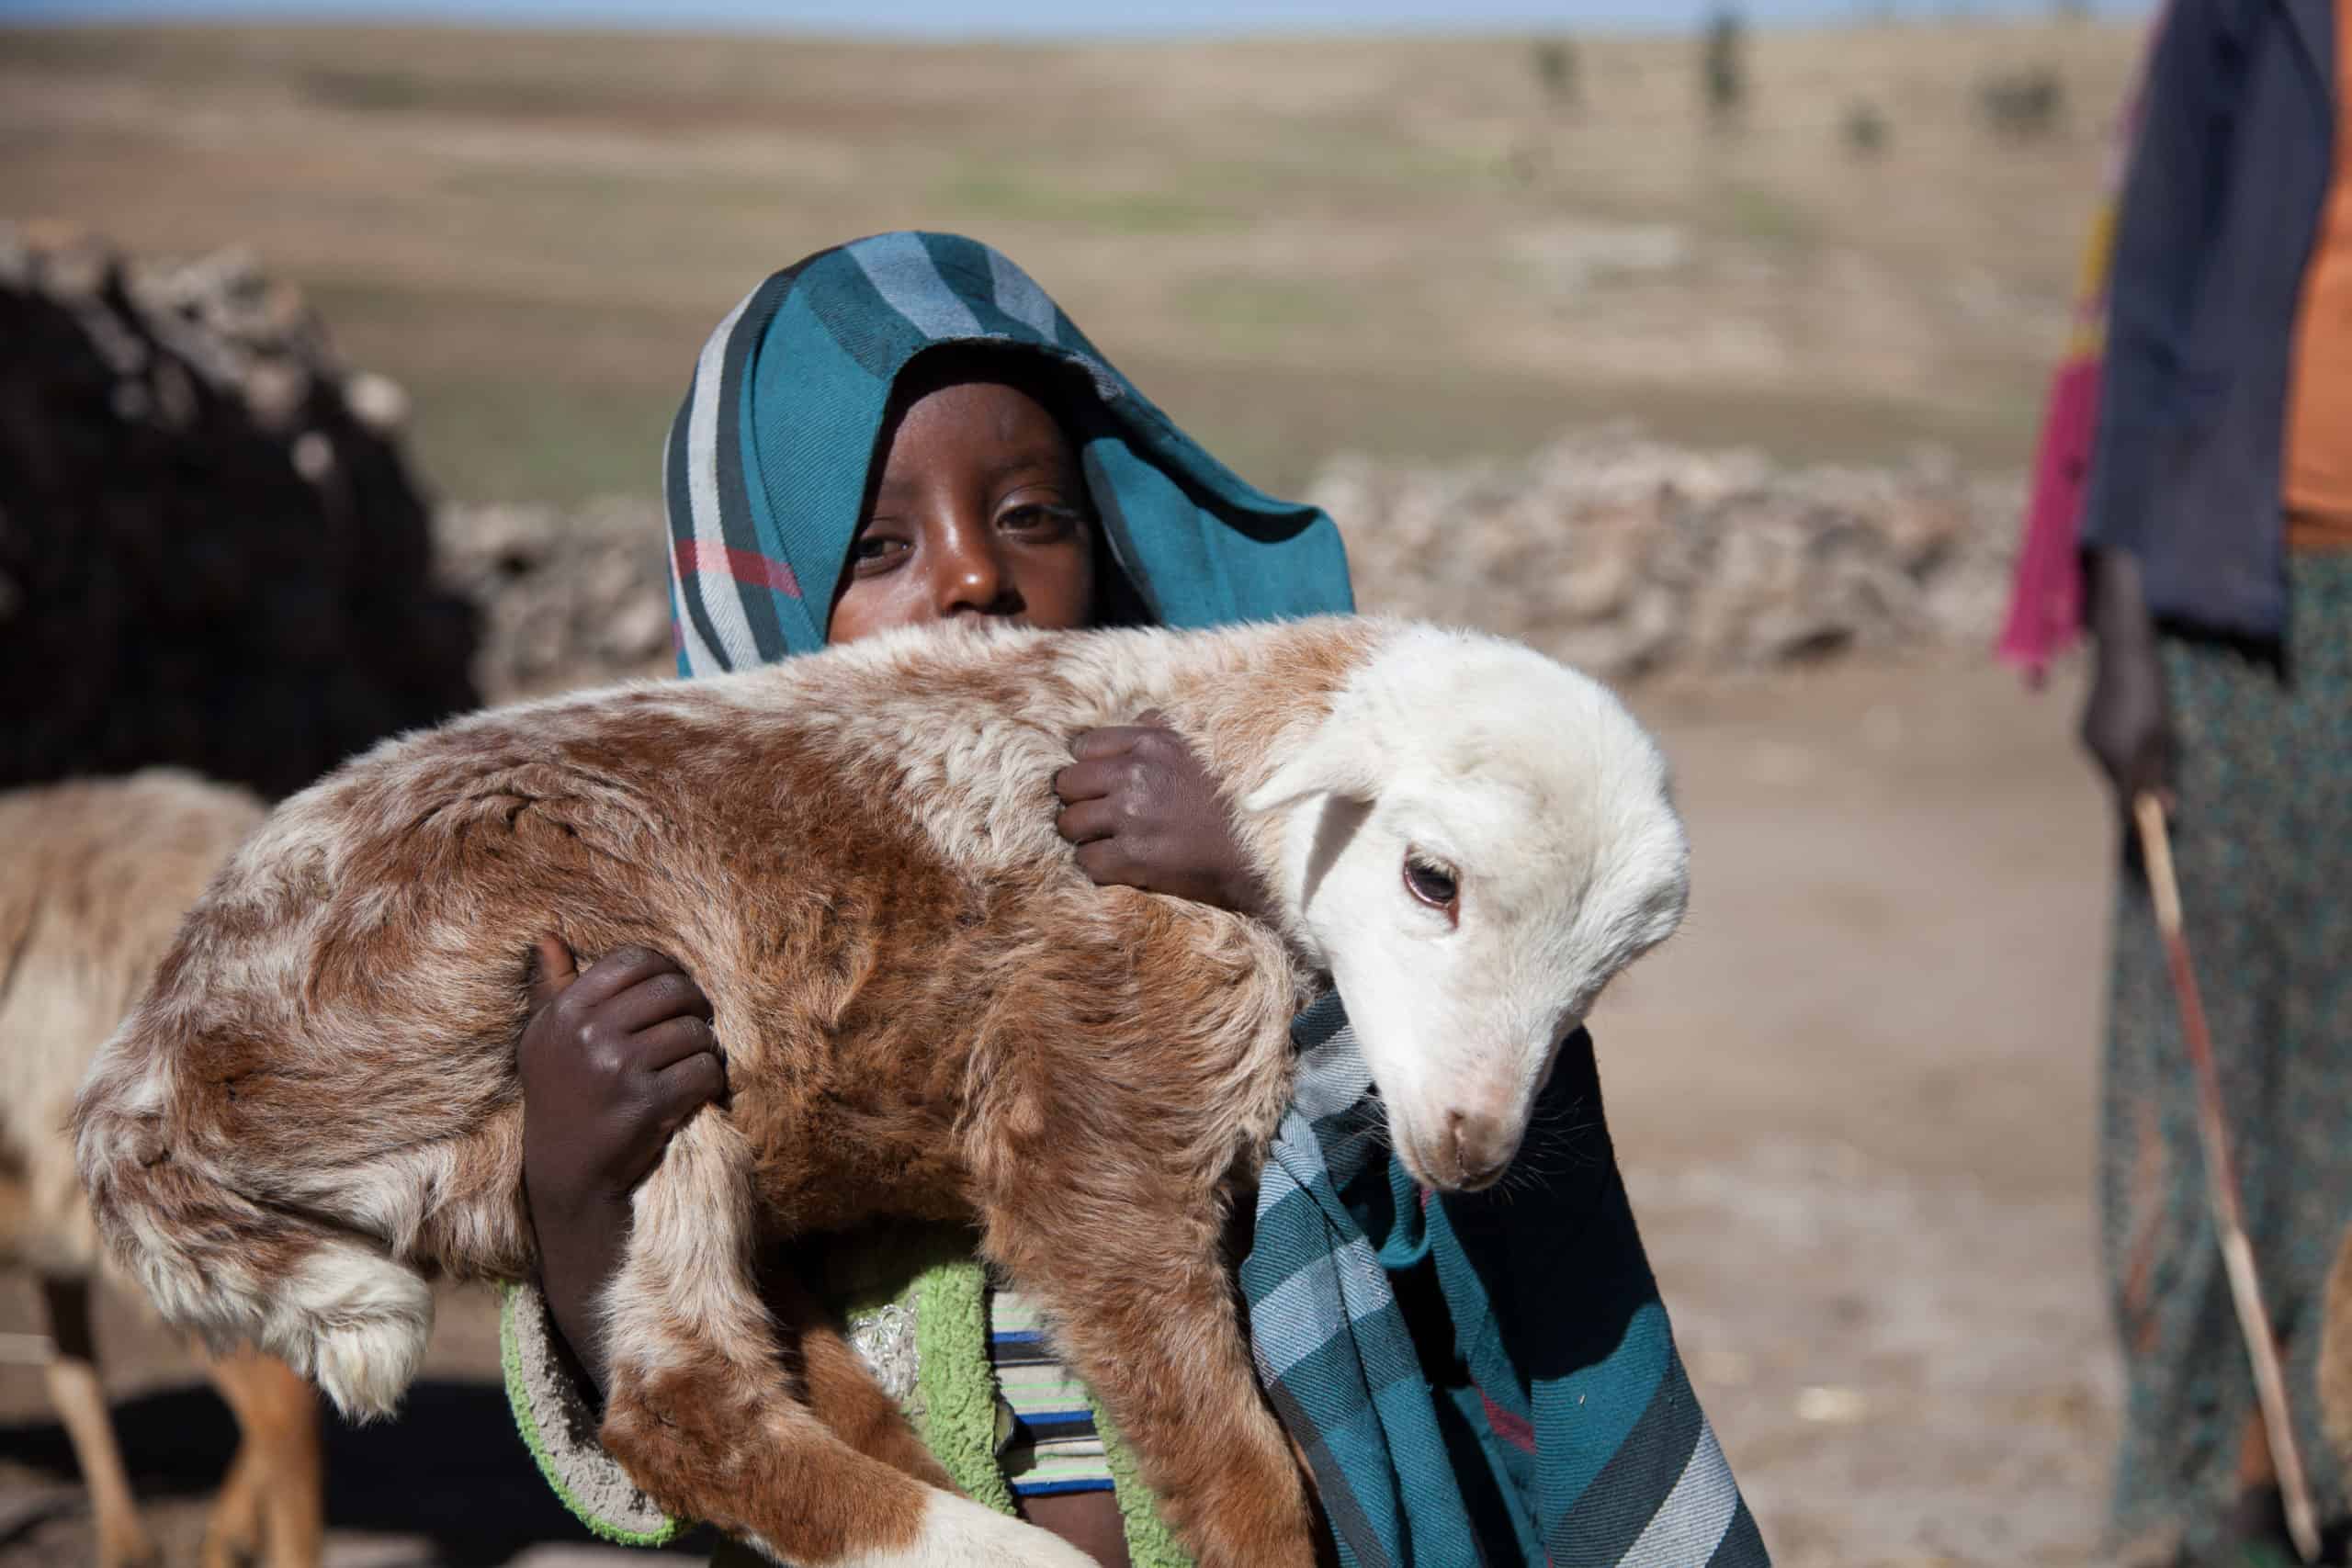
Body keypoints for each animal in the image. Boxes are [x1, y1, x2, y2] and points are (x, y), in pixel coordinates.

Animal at [74, 615, 1693, 1568]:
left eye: (1612, 970)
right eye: (1431, 877)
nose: (1470, 1149)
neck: (1223, 729)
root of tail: (155, 1068)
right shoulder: (1107, 1071)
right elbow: (1236, 1462)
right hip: (579, 992)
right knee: (685, 1401)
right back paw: (989, 1550)